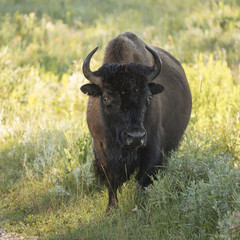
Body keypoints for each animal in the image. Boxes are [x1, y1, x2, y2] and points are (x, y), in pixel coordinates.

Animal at [80, 32, 191, 212]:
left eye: (147, 98)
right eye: (106, 98)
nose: (135, 137)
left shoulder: (152, 145)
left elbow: (143, 180)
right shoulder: (101, 147)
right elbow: (111, 181)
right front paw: (111, 210)